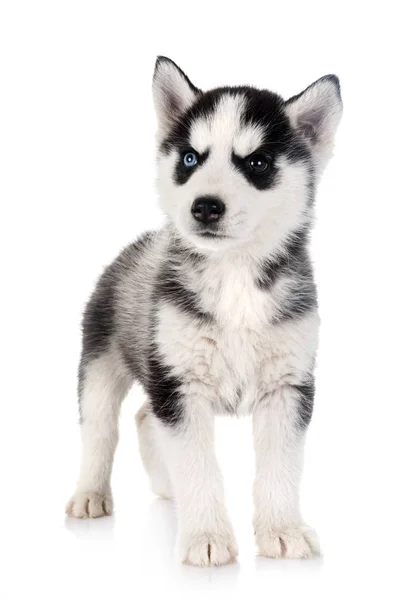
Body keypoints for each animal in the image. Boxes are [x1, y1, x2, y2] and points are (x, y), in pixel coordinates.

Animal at [66, 56, 342, 568]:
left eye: (257, 163)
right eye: (190, 159)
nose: (205, 207)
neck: (234, 275)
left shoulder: (287, 386)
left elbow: (281, 466)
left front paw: (282, 530)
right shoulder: (181, 387)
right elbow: (197, 465)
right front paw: (206, 537)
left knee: (143, 417)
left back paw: (164, 485)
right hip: (101, 365)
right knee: (100, 429)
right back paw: (90, 493)